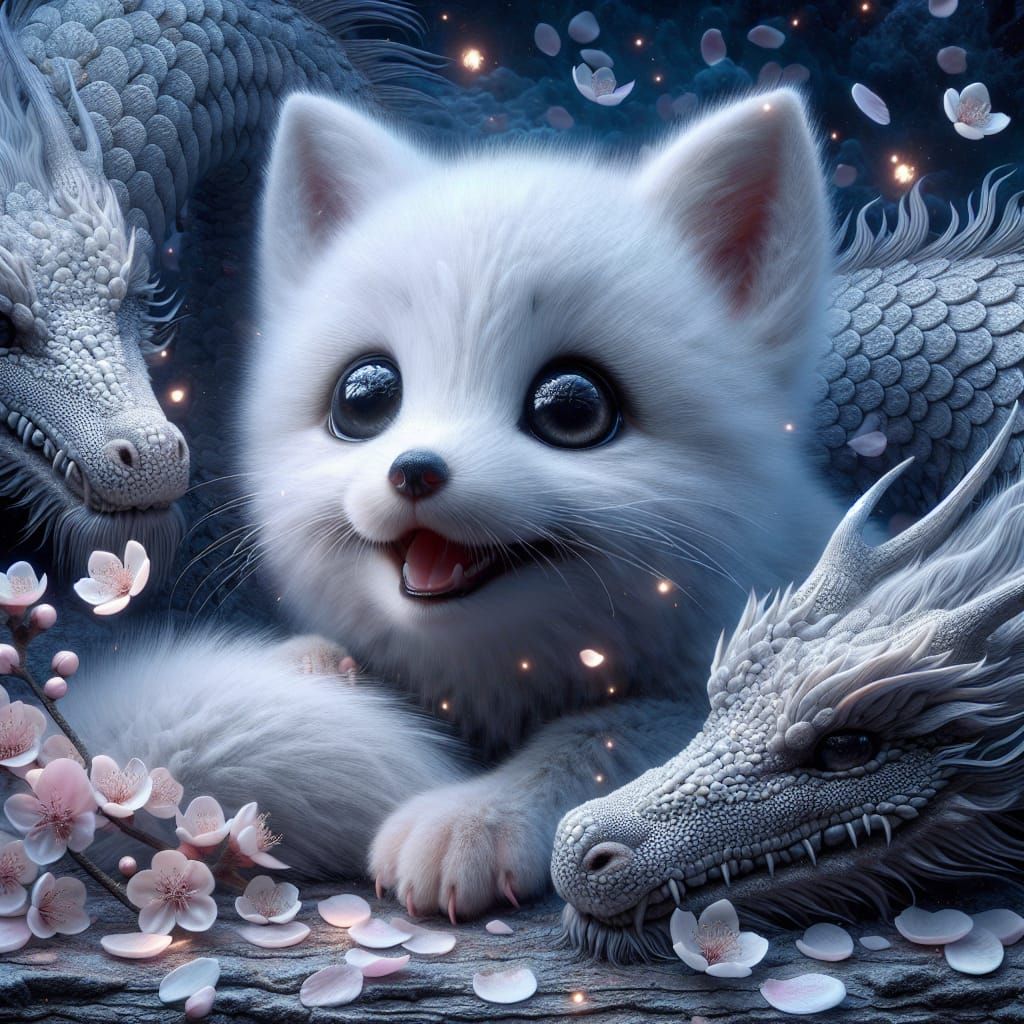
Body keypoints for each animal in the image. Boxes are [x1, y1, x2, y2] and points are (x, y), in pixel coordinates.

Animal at [64, 86, 844, 920]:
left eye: (574, 408)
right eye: (364, 396)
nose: (415, 471)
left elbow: (611, 732)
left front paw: (475, 815)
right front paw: (313, 666)